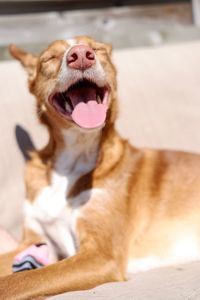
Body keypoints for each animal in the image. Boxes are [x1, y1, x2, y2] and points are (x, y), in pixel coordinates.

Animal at [0, 36, 200, 298]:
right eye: (50, 57)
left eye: (97, 49)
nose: (80, 55)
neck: (72, 159)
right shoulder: (35, 241)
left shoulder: (100, 255)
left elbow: (20, 281)